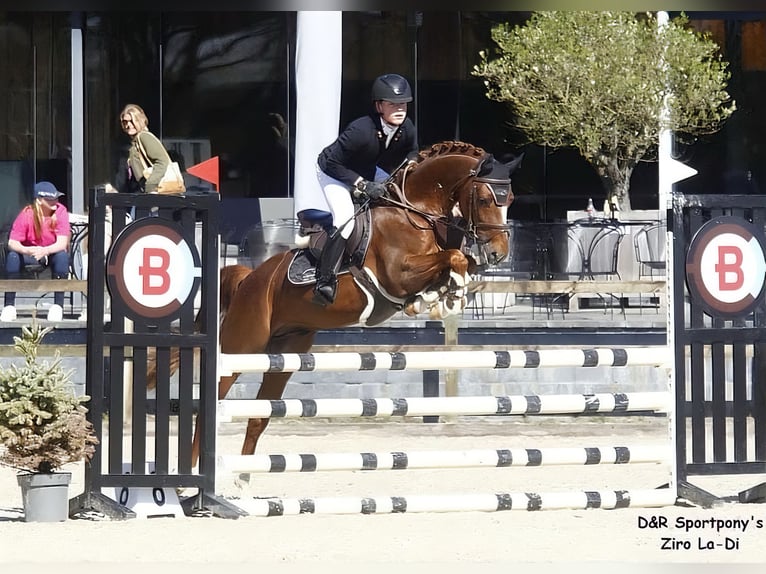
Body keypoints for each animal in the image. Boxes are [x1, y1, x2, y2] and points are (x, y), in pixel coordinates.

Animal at [150, 140, 522, 465]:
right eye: (485, 199)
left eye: (511, 199)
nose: (498, 254)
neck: (418, 213)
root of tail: (249, 278)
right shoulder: (398, 275)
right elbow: (454, 258)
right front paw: (444, 296)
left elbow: (460, 261)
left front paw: (444, 296)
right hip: (243, 346)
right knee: (211, 405)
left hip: (284, 354)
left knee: (259, 417)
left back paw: (242, 479)